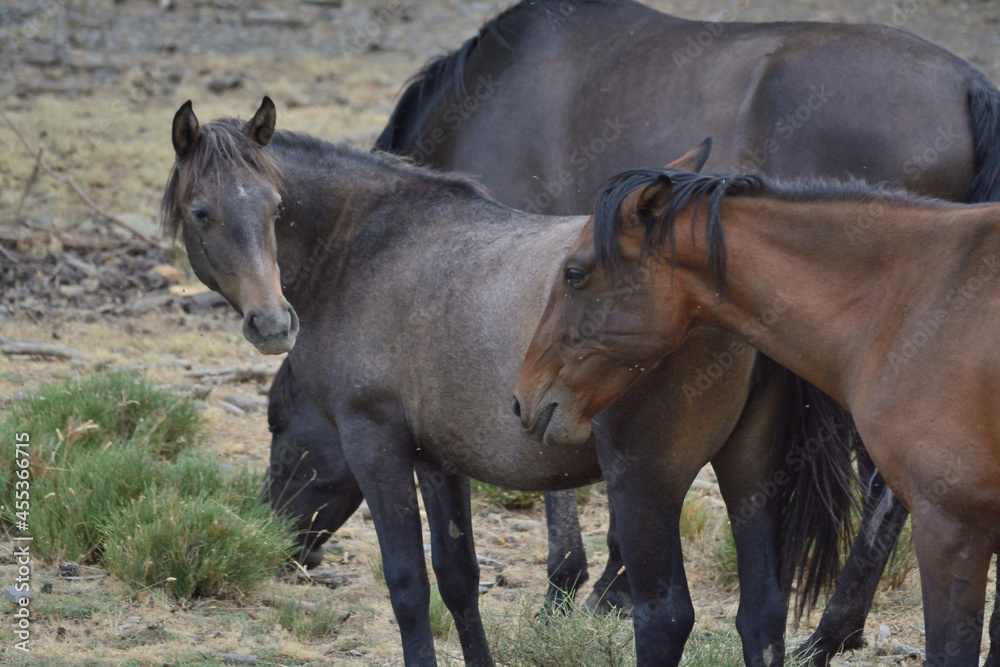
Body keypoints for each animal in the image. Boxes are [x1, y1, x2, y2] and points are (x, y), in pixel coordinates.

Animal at [162, 100, 852, 667]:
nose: (272, 322)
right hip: (749, 473)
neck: (371, 247)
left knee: (665, 619)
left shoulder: (375, 445)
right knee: (761, 616)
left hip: (646, 484)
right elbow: (459, 580)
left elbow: (408, 584)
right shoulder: (438, 460)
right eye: (205, 213)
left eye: (274, 209)